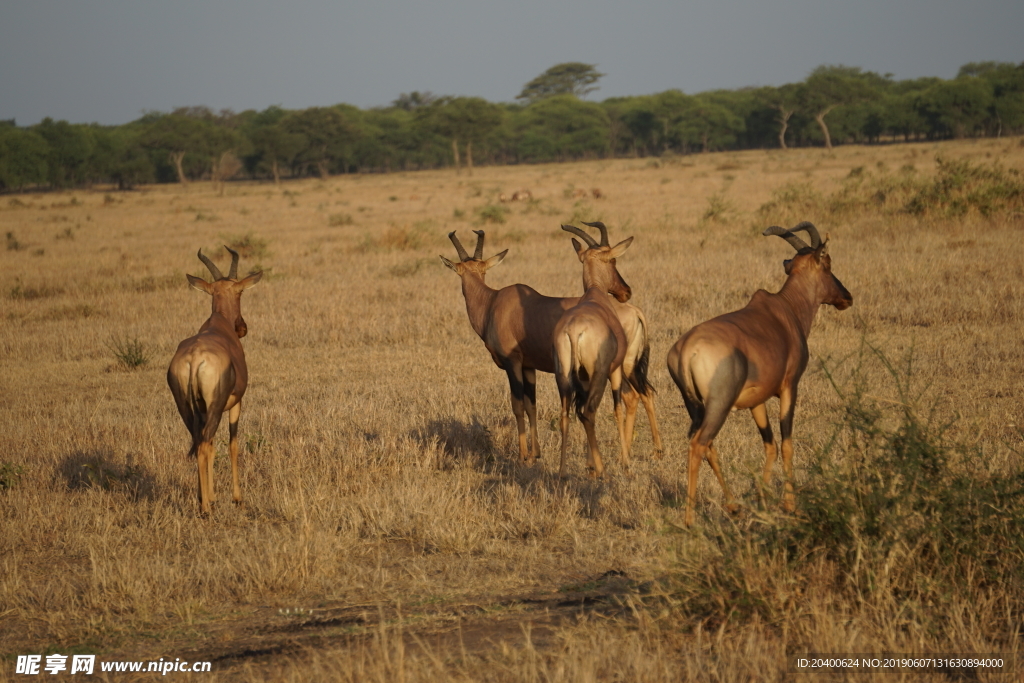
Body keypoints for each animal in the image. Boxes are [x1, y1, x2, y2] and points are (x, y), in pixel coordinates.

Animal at [167, 245, 264, 511]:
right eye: (240, 291)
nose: (242, 328)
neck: (218, 323)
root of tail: (194, 358)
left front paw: (209, 494)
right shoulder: (235, 404)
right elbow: (232, 444)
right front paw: (236, 497)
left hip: (186, 407)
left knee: (199, 441)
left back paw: (203, 501)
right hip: (216, 405)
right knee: (205, 444)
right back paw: (206, 509)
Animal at [557, 222, 634, 479]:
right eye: (613, 260)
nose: (625, 291)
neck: (595, 294)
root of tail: (574, 330)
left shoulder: (582, 378)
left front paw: (589, 464)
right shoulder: (614, 370)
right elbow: (617, 409)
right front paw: (625, 462)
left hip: (563, 377)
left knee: (566, 415)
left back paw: (562, 471)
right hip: (599, 375)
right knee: (588, 412)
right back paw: (601, 470)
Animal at [663, 222, 847, 528]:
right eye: (828, 263)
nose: (846, 297)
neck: (785, 310)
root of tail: (687, 350)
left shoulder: (756, 401)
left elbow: (769, 444)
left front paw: (763, 501)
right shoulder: (789, 387)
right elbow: (786, 443)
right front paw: (790, 507)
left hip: (697, 407)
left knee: (709, 445)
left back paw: (735, 508)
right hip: (719, 405)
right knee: (699, 445)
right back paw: (690, 521)